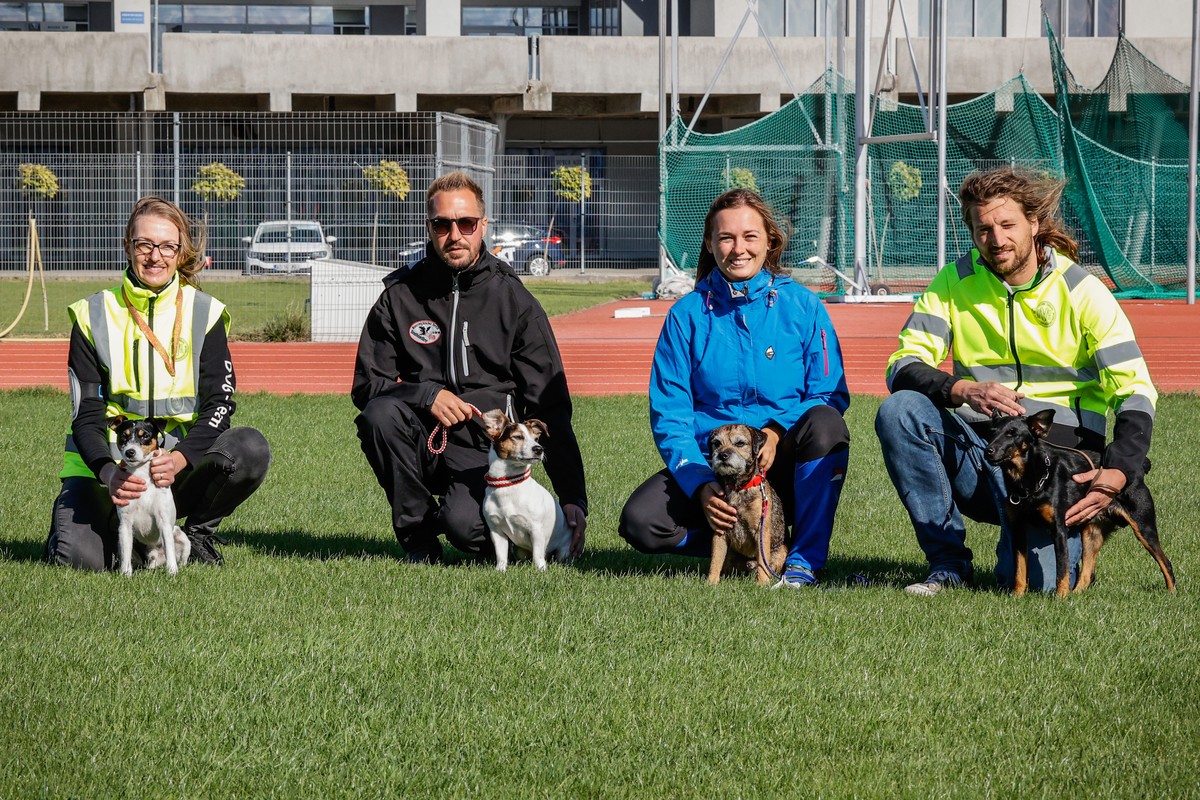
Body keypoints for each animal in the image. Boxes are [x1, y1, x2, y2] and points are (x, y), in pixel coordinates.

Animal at [111, 417, 190, 577]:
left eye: (145, 436)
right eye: (123, 436)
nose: (130, 452)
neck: (141, 474)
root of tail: (155, 560)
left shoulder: (164, 522)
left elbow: (170, 550)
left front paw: (172, 572)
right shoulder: (125, 525)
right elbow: (126, 554)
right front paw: (125, 574)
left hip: (182, 538)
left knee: (180, 557)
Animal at [480, 409, 573, 572]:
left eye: (536, 438)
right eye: (517, 437)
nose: (539, 449)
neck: (509, 484)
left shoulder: (536, 529)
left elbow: (538, 555)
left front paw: (541, 570)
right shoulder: (496, 530)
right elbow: (501, 555)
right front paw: (500, 570)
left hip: (563, 549)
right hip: (519, 551)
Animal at [705, 424, 788, 586]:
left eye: (740, 443)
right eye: (717, 443)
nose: (722, 455)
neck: (738, 488)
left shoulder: (760, 530)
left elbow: (763, 561)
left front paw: (762, 584)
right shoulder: (720, 527)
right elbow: (715, 559)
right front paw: (711, 583)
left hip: (782, 550)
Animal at [984, 409, 1175, 597]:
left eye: (1012, 433)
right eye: (991, 432)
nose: (988, 451)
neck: (1027, 481)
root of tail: (1139, 470)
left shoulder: (1059, 529)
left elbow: (1062, 570)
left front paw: (1060, 598)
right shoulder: (1017, 529)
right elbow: (1019, 569)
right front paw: (1017, 596)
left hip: (1143, 526)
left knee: (1166, 562)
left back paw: (1171, 593)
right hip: (1092, 533)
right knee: (1087, 574)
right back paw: (1075, 595)